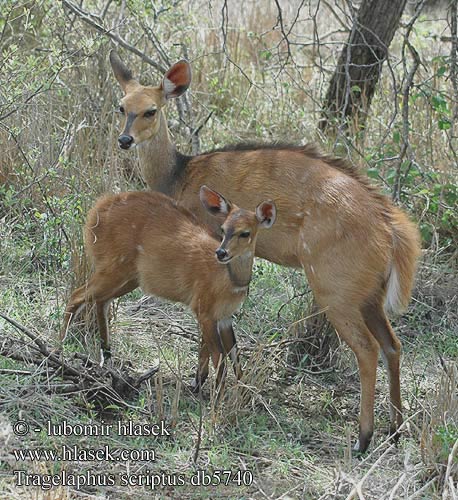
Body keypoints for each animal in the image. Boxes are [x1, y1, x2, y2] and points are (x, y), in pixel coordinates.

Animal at [60, 186, 276, 392]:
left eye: (245, 233)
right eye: (223, 229)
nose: (221, 253)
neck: (229, 281)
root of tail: (97, 209)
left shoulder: (224, 317)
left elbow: (234, 355)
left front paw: (241, 393)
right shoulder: (204, 311)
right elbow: (219, 356)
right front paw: (218, 397)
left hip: (130, 279)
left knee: (100, 301)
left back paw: (107, 357)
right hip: (114, 270)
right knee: (76, 296)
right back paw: (59, 348)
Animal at [108, 51, 422, 454]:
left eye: (151, 110)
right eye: (122, 106)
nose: (125, 139)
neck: (180, 174)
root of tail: (392, 230)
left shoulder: (210, 245)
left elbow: (210, 330)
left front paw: (200, 382)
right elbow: (227, 333)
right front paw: (230, 384)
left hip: (335, 292)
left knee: (367, 350)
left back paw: (362, 439)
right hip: (370, 296)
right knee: (393, 345)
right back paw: (395, 429)